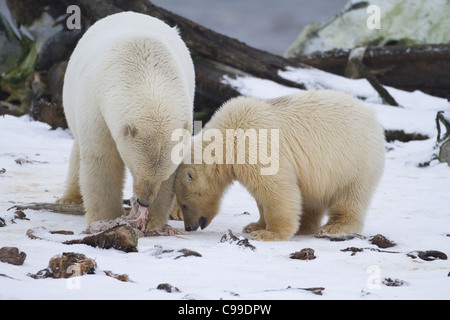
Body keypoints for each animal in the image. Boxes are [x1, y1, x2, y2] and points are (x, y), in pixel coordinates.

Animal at [57, 11, 193, 228]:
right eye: (137, 171)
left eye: (163, 177)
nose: (144, 201)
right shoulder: (96, 104)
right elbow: (102, 158)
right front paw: (106, 218)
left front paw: (152, 221)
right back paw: (69, 199)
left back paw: (178, 211)